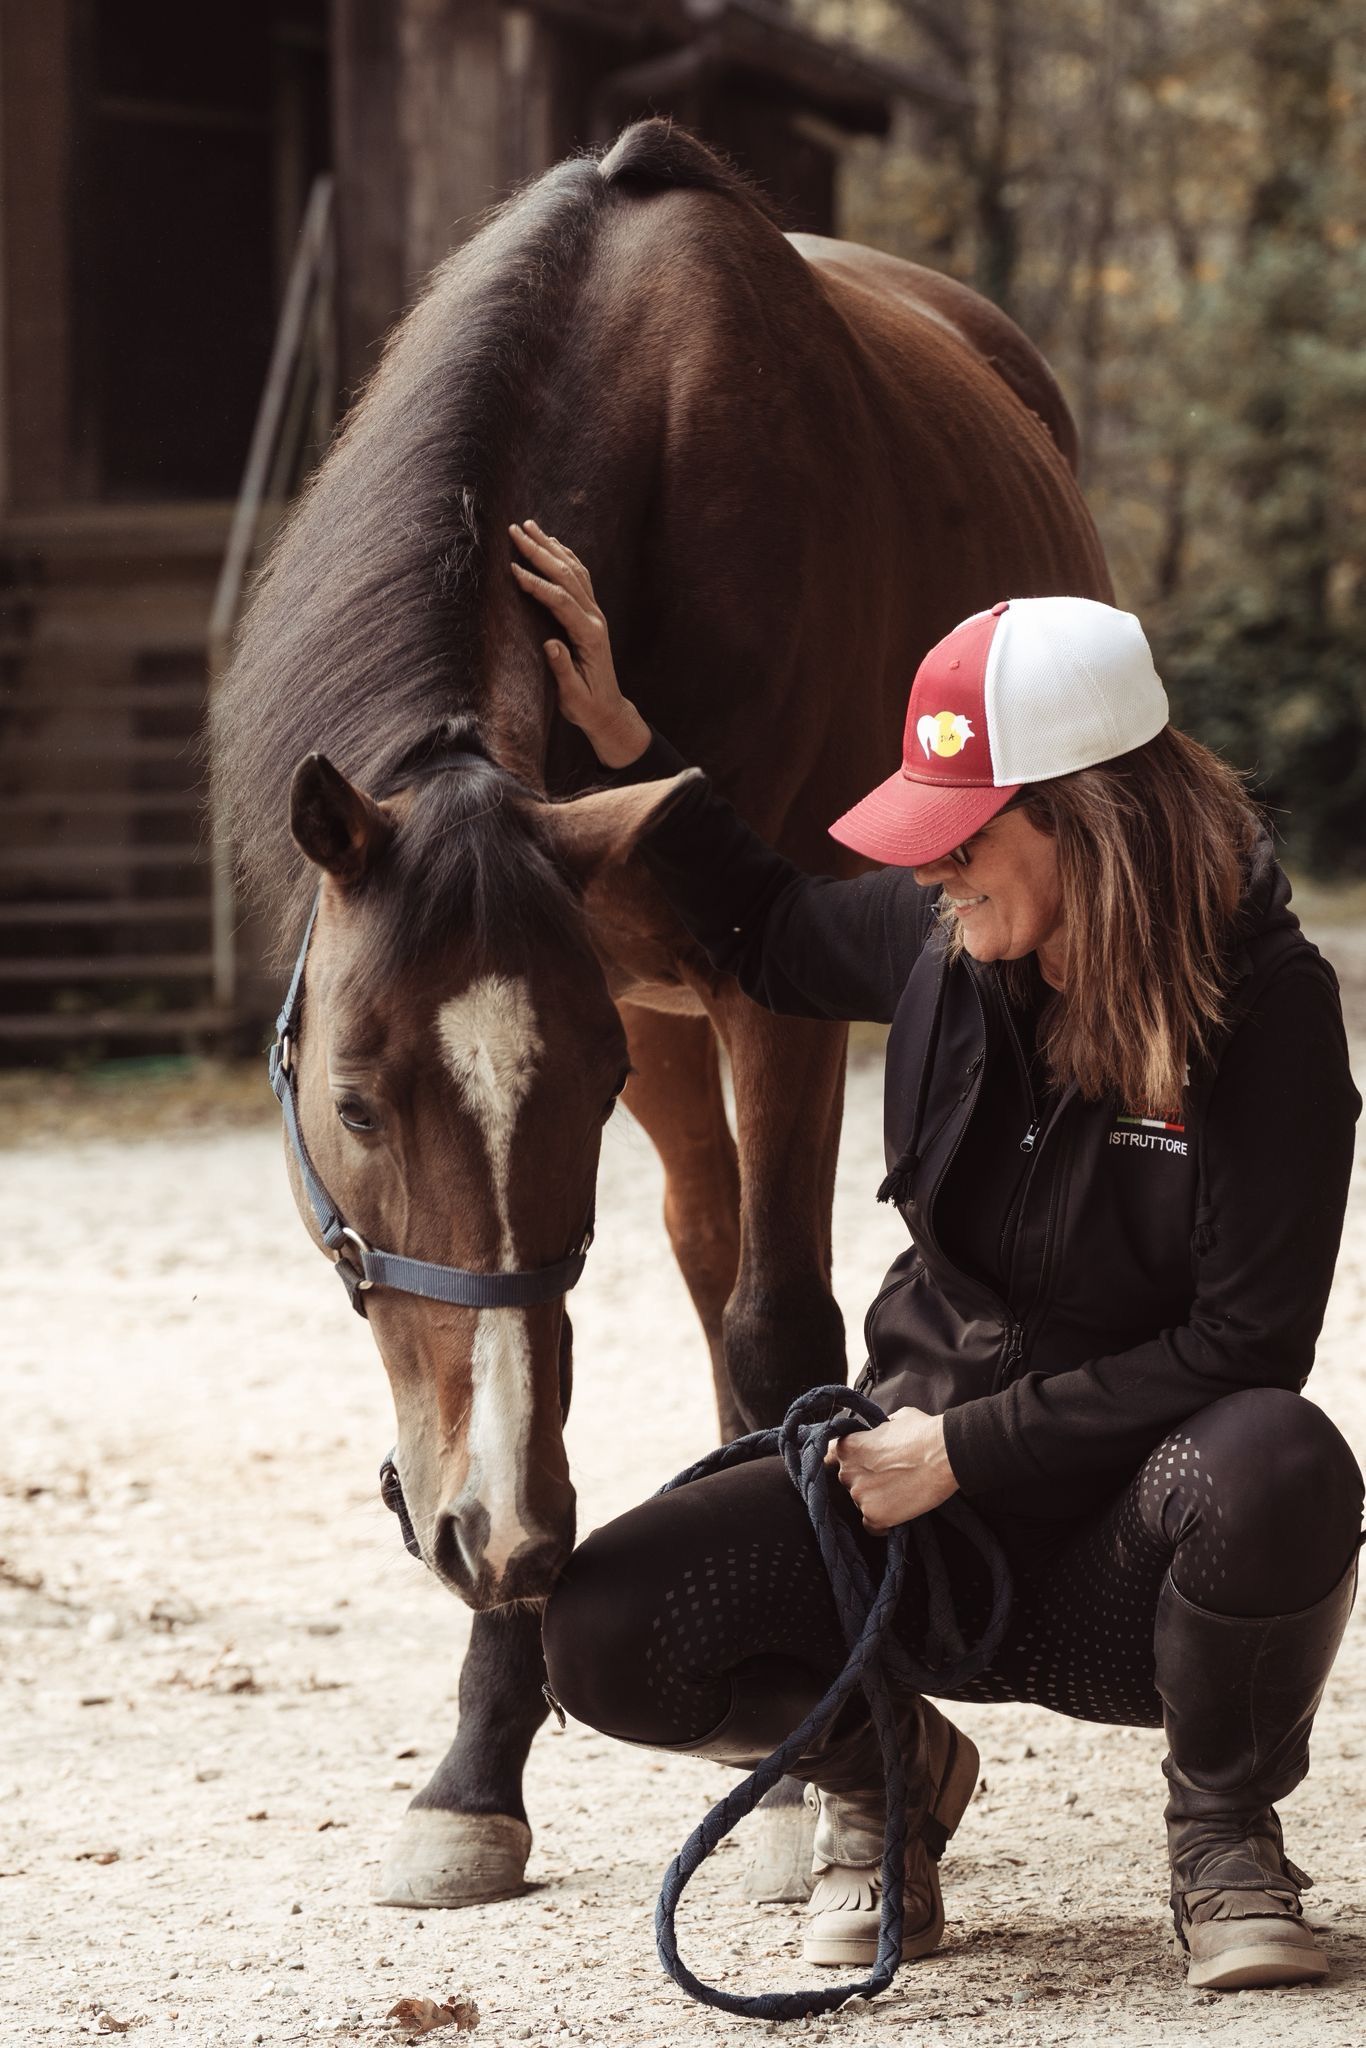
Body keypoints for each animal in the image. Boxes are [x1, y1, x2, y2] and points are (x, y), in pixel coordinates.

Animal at [211, 116, 1112, 1911]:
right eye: (355, 1101)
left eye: (571, 1083)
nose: (499, 1535)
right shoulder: (663, 1011)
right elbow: (600, 1342)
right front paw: (478, 1766)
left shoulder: (762, 998)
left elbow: (780, 1330)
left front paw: (869, 1781)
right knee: (697, 1270)